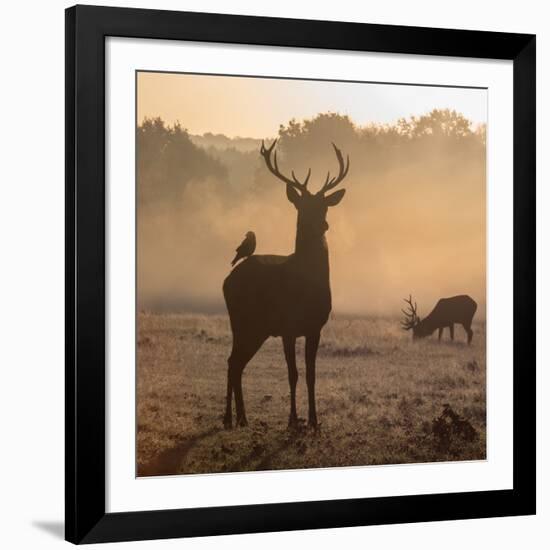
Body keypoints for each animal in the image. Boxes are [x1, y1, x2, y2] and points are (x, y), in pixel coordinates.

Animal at [223, 140, 350, 430]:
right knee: (233, 362)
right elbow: (292, 374)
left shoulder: (315, 327)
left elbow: (311, 374)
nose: (322, 224)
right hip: (242, 321)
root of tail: (227, 280)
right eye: (302, 206)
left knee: (236, 362)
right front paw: (293, 420)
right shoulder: (288, 327)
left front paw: (314, 420)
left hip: (255, 329)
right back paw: (229, 418)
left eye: (324, 206)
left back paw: (241, 418)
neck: (306, 287)